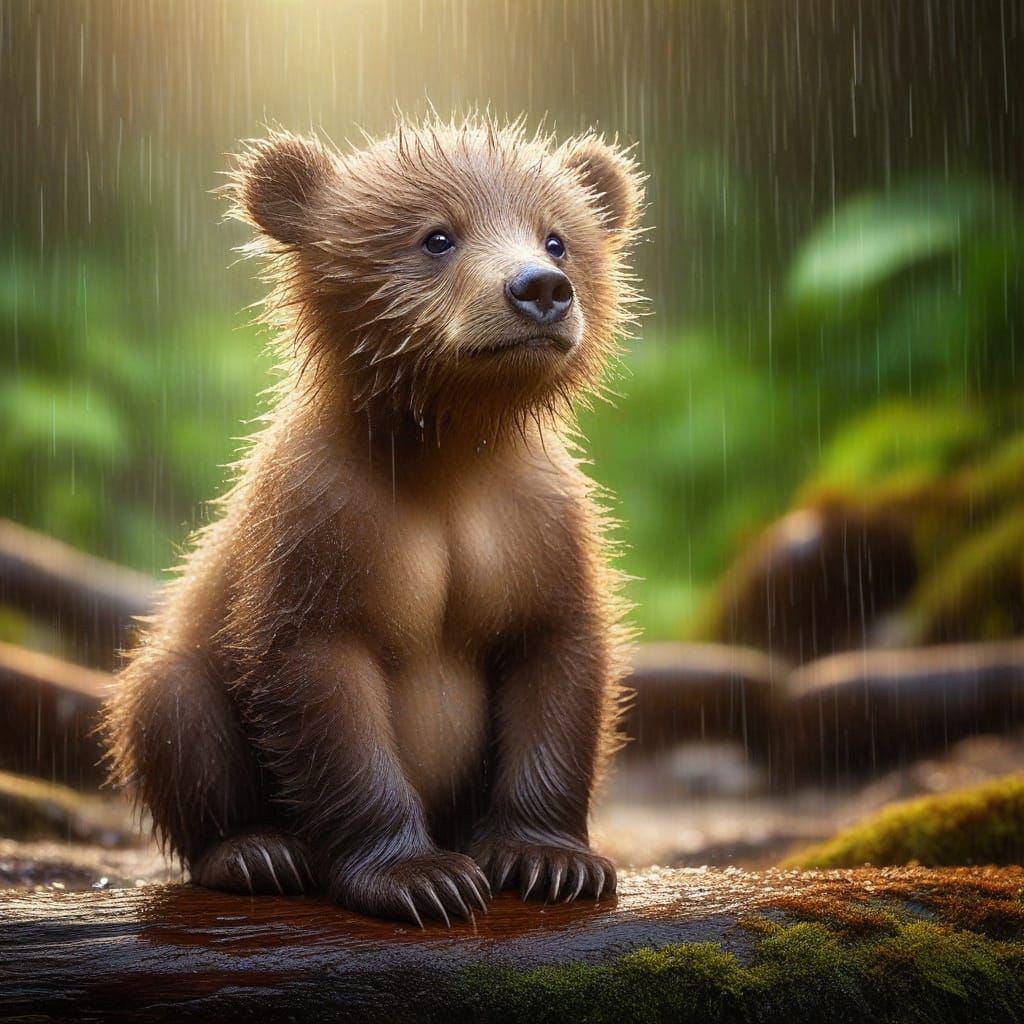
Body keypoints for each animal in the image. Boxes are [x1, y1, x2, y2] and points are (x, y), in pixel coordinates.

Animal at [103, 115, 644, 925]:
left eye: (557, 237)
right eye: (437, 236)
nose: (541, 290)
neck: (446, 452)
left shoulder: (537, 520)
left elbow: (555, 655)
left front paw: (551, 861)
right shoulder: (322, 517)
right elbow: (323, 679)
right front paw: (421, 877)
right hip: (188, 673)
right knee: (171, 702)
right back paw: (254, 851)